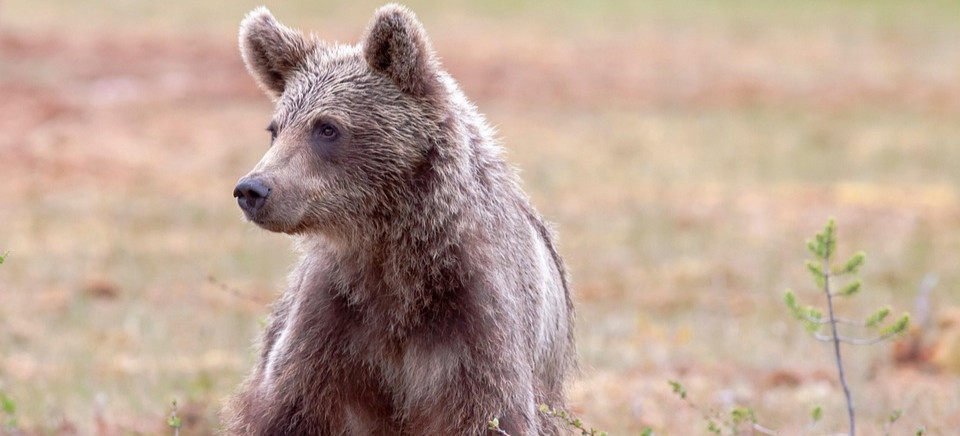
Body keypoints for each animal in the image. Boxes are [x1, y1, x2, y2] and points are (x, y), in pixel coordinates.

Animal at [223, 4, 576, 436]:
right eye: (275, 129)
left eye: (327, 127)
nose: (252, 189)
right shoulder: (331, 324)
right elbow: (287, 410)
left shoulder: (476, 322)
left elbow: (491, 413)